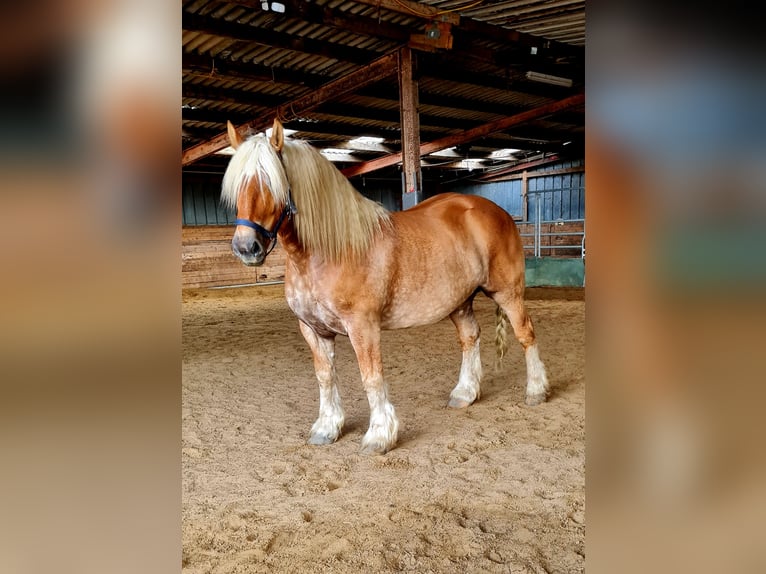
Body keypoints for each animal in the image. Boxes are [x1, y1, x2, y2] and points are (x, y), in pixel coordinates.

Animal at [222, 119, 552, 456]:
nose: (246, 248)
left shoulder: (362, 327)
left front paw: (379, 436)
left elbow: (371, 376)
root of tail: (498, 212)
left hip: (507, 293)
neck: (330, 251)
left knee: (526, 334)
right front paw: (327, 428)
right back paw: (465, 393)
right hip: (459, 302)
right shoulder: (313, 329)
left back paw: (536, 391)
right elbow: (325, 376)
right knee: (470, 338)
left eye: (270, 182)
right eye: (237, 186)